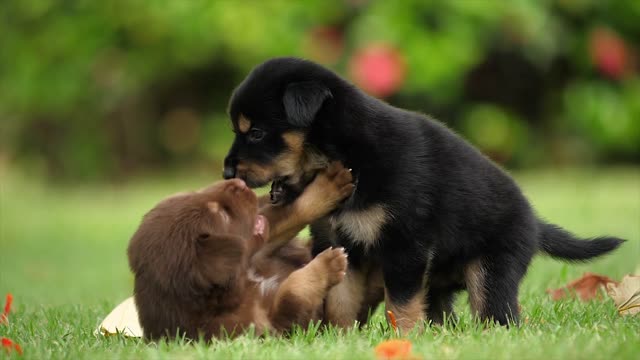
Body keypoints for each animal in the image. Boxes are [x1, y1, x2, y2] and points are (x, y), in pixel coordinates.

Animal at [127, 163, 352, 340]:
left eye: (194, 193)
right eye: (222, 214)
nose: (239, 183)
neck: (244, 281)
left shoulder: (258, 252)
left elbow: (287, 214)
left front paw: (327, 186)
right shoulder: (270, 330)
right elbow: (291, 292)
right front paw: (328, 264)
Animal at [222, 57, 624, 330]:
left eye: (255, 132)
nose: (226, 171)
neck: (344, 154)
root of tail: (536, 223)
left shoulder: (405, 244)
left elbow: (399, 304)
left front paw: (405, 338)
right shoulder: (338, 242)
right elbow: (338, 300)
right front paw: (340, 336)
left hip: (493, 269)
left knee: (498, 314)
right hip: (441, 284)